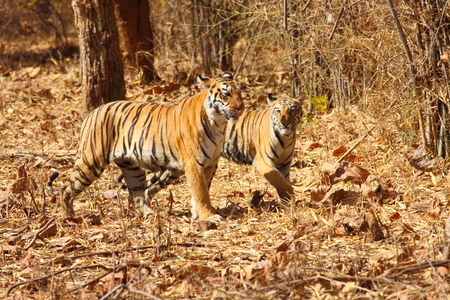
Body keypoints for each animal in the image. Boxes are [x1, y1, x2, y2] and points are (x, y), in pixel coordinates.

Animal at [47, 72, 244, 220]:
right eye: (226, 94)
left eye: (239, 93)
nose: (241, 108)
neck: (218, 123)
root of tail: (92, 113)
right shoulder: (194, 164)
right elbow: (201, 191)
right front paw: (209, 216)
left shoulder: (210, 163)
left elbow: (202, 190)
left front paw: (197, 215)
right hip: (91, 161)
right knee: (66, 187)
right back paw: (69, 217)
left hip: (133, 168)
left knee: (137, 194)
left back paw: (150, 214)